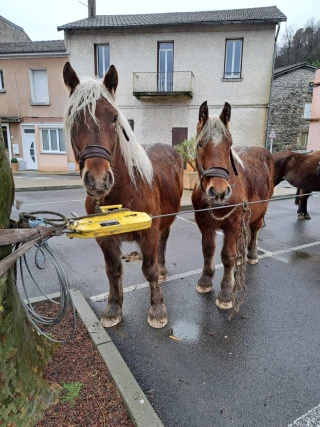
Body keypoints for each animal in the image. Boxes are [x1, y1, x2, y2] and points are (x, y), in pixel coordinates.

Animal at [63, 62, 182, 328]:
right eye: (73, 116)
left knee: (163, 242)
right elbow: (113, 270)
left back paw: (163, 270)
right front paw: (113, 307)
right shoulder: (105, 239)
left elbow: (149, 269)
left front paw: (157, 309)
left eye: (114, 117)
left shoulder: (149, 231)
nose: (98, 180)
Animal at [191, 103, 274, 310]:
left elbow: (227, 256)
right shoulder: (204, 224)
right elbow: (208, 250)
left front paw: (226, 293)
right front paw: (205, 280)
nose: (219, 192)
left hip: (259, 213)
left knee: (254, 231)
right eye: (200, 144)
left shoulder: (233, 224)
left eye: (229, 144)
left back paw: (251, 255)